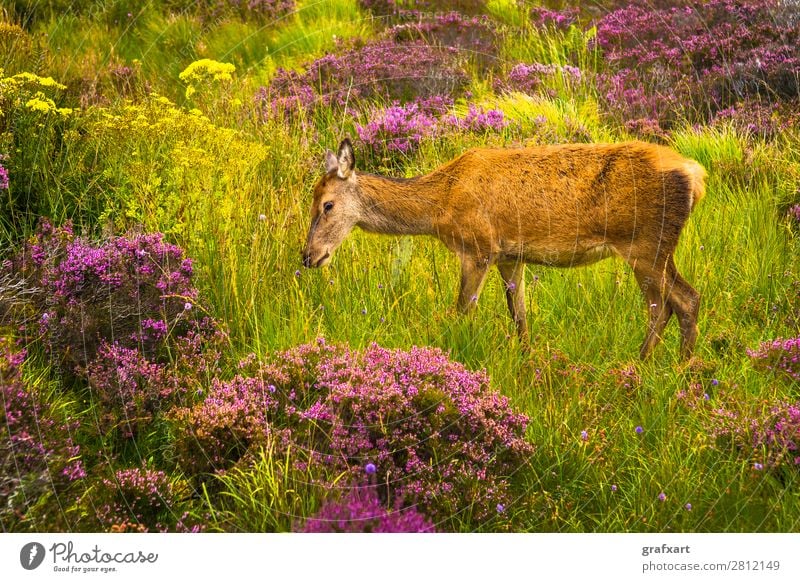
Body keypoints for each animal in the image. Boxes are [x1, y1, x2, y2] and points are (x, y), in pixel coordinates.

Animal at [302, 140, 708, 360]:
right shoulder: (511, 256)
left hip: (644, 245)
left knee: (672, 303)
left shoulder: (478, 247)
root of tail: (697, 176)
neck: (439, 205)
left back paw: (653, 366)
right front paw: (527, 361)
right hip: (659, 248)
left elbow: (462, 311)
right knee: (678, 301)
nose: (308, 256)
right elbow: (520, 316)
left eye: (327, 205)